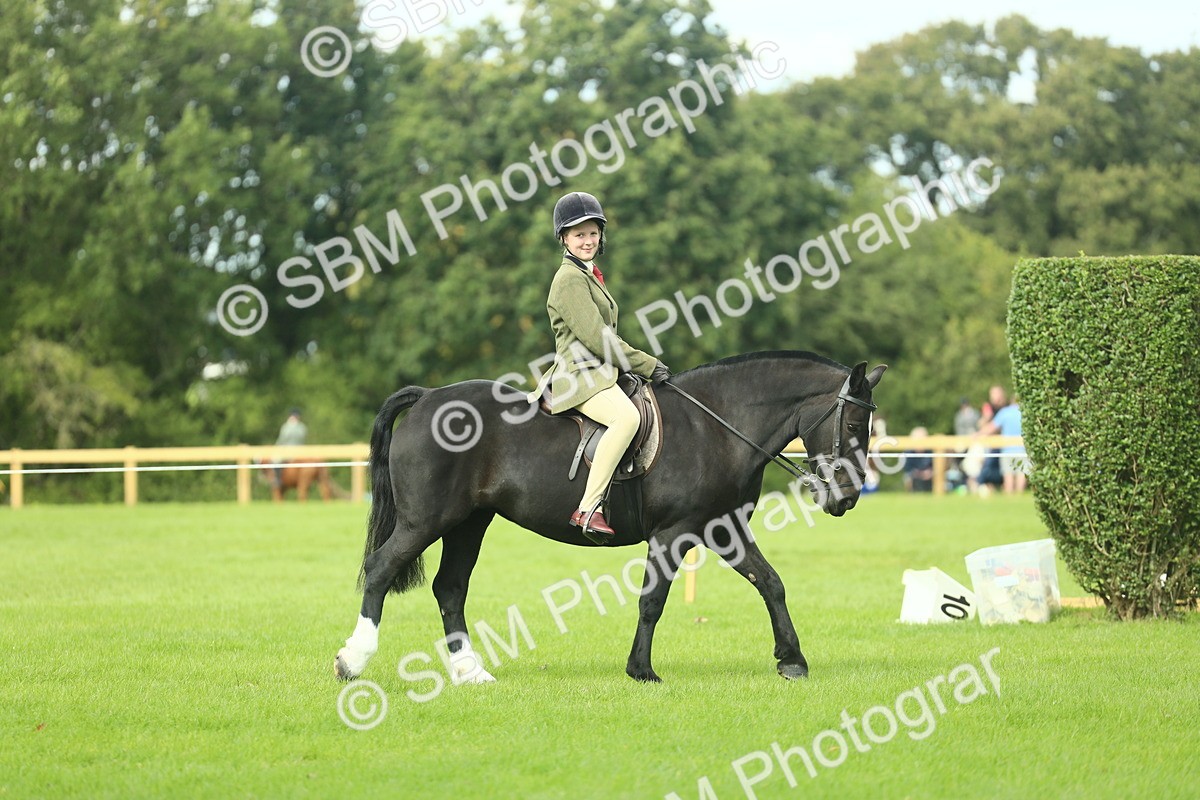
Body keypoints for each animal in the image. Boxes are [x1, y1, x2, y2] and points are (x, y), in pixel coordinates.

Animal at [334, 351, 886, 684]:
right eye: (854, 424)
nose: (847, 497)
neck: (715, 426)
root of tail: (429, 397)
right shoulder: (672, 534)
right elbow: (652, 601)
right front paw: (641, 670)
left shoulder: (723, 529)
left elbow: (770, 583)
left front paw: (791, 660)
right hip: (426, 522)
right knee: (381, 571)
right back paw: (352, 660)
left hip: (469, 523)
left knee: (450, 588)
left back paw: (470, 672)